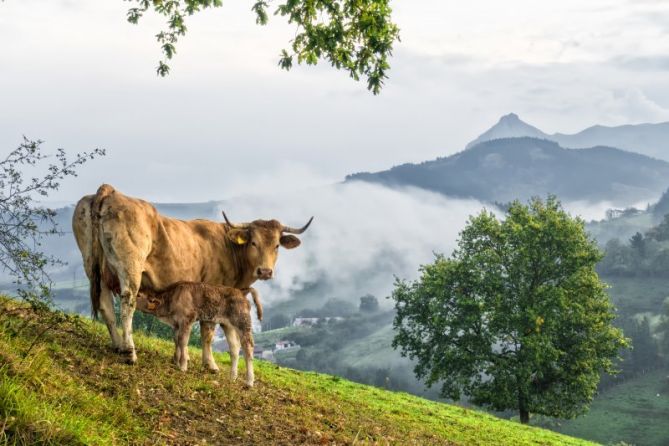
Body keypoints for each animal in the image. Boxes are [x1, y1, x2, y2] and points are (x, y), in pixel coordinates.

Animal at [72, 183, 312, 364]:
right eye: (254, 242)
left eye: (277, 245)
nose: (265, 271)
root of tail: (111, 191)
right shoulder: (213, 293)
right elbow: (208, 330)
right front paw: (210, 364)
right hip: (130, 268)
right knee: (126, 305)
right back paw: (129, 351)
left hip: (94, 268)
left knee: (105, 306)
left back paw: (116, 346)